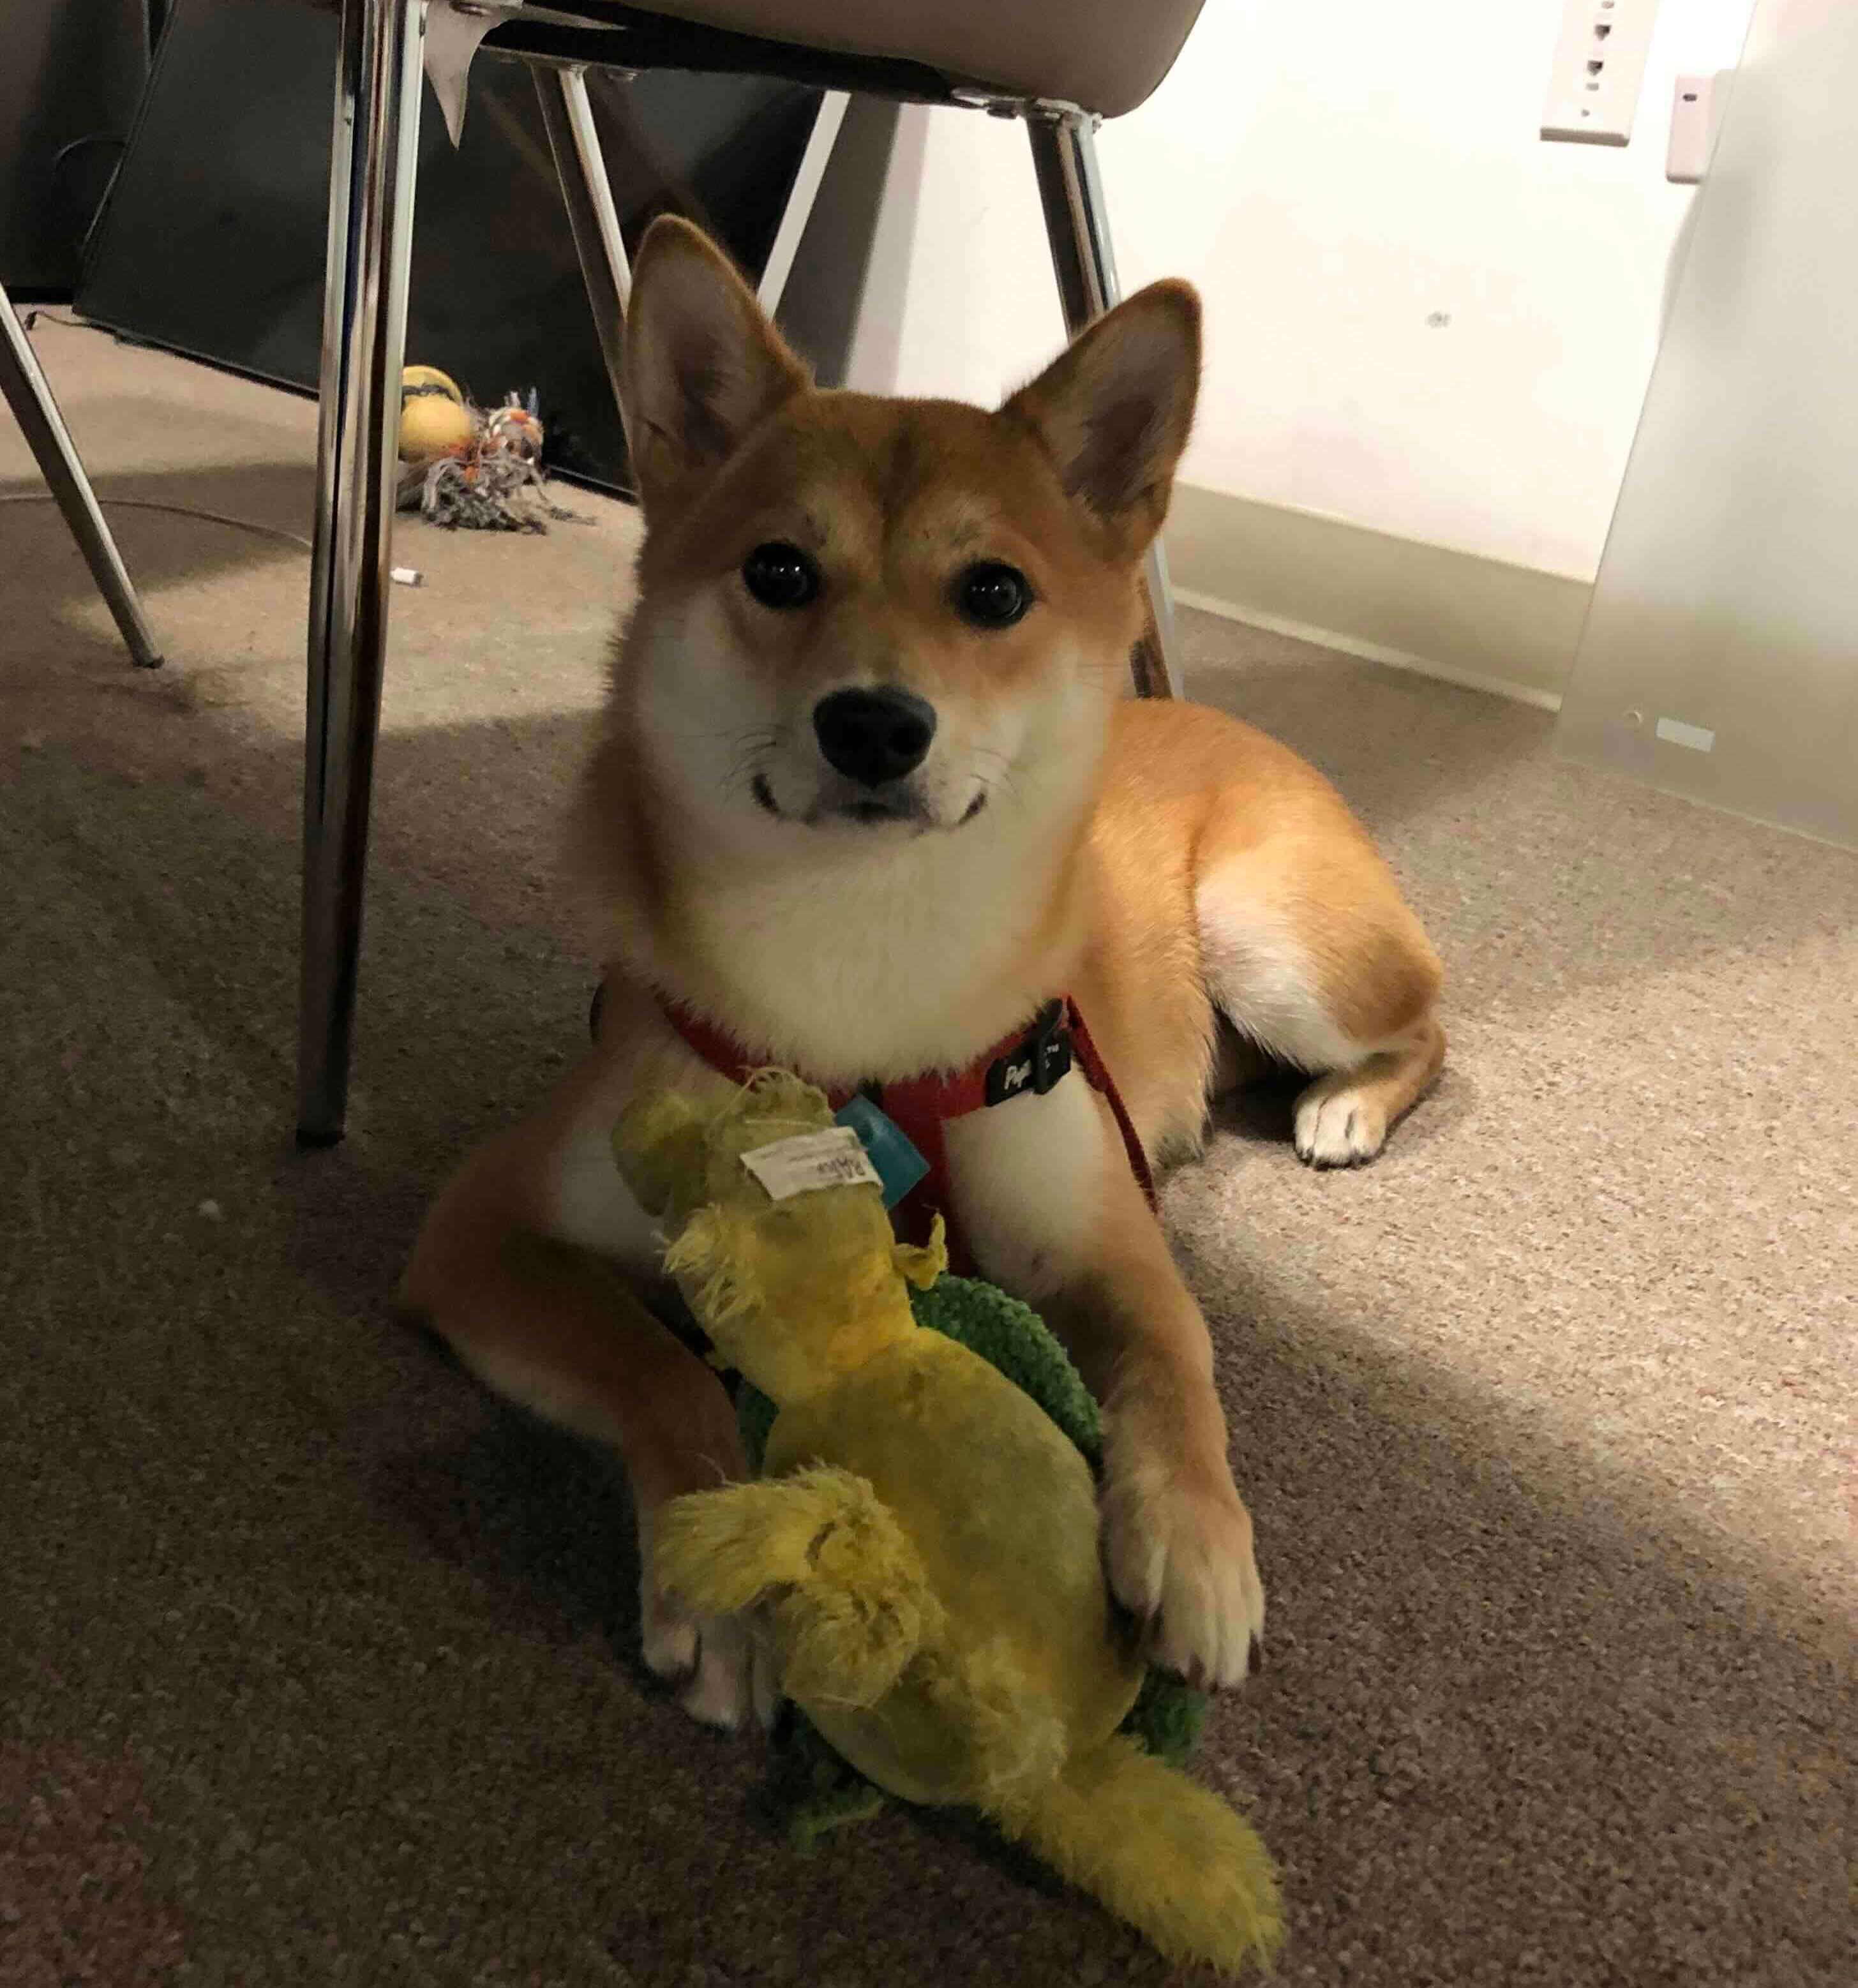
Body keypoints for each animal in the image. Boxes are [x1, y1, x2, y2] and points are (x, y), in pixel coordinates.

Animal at [407, 218, 1446, 1733]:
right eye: (781, 572)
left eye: (994, 592)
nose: (875, 725)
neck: (864, 962)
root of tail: (1218, 715)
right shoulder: (488, 1228)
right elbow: (657, 1369)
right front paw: (726, 1571)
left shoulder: (1099, 1230)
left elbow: (1176, 1363)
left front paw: (1196, 1540)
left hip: (1273, 940)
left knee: (1429, 1026)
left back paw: (1349, 1106)